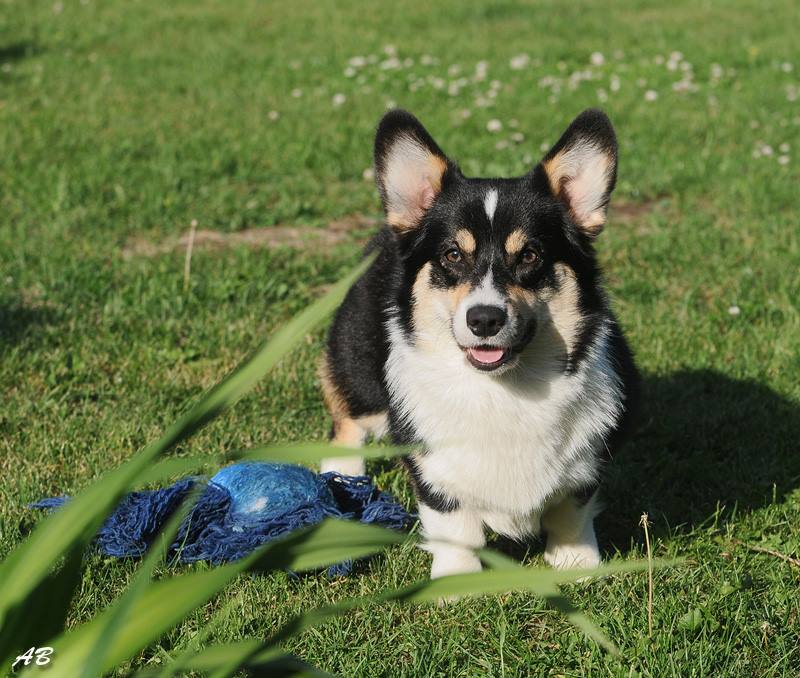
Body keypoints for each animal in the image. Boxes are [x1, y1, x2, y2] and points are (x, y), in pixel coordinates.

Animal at [318, 109, 636, 576]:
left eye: (530, 256)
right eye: (452, 255)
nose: (485, 319)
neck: (505, 388)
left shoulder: (589, 460)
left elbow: (571, 509)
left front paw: (576, 562)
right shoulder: (431, 464)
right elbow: (454, 522)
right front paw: (456, 578)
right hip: (358, 364)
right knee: (347, 422)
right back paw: (342, 476)